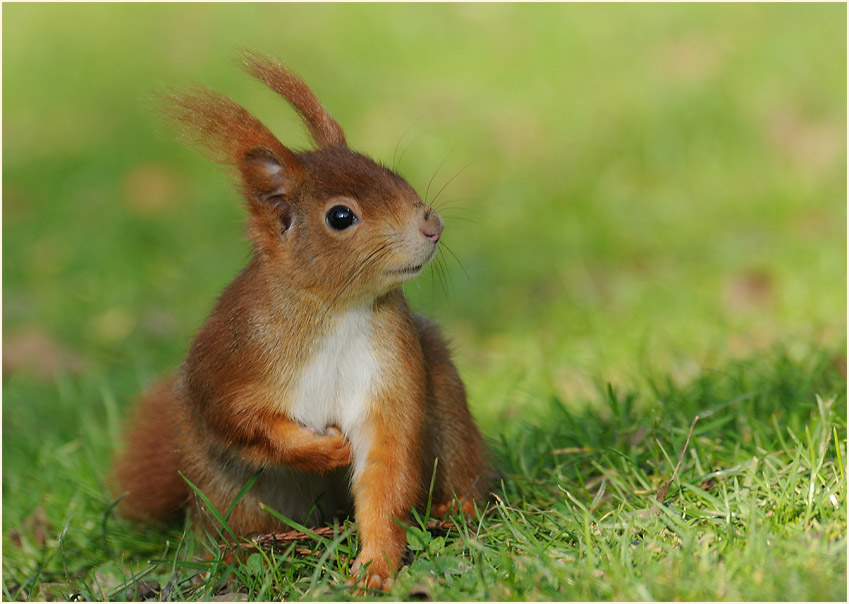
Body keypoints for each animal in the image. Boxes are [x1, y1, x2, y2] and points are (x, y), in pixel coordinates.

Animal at [113, 53, 489, 590]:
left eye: (391, 173)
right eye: (340, 217)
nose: (432, 225)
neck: (335, 311)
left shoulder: (390, 370)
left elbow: (386, 468)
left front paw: (375, 566)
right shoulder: (232, 355)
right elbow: (241, 420)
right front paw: (327, 451)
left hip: (445, 400)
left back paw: (456, 510)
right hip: (228, 493)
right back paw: (244, 554)